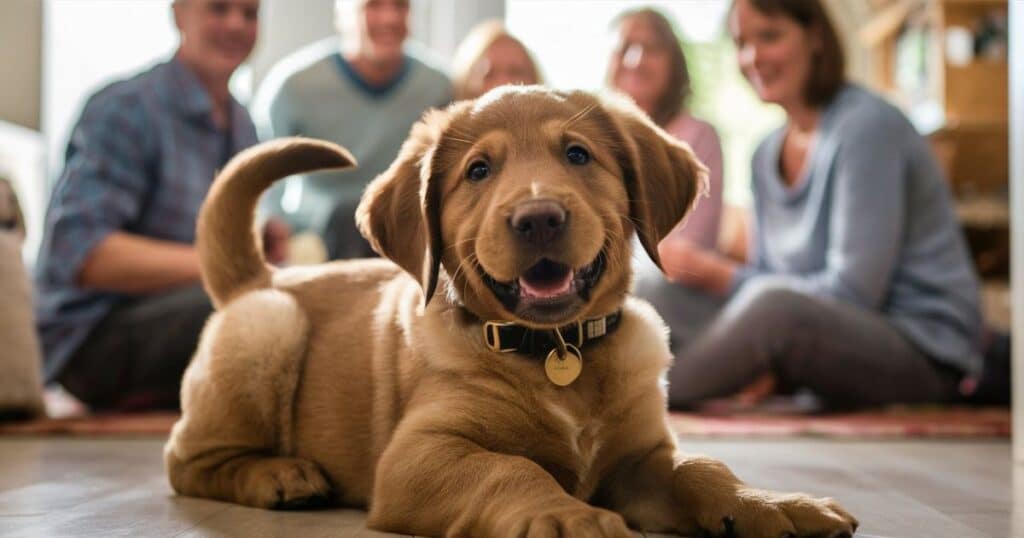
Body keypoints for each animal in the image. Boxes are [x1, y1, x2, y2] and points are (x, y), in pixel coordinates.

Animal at [167, 88, 856, 536]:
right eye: (478, 171)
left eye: (577, 155)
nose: (538, 216)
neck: (557, 349)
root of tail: (261, 277)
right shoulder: (417, 457)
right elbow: (509, 470)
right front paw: (570, 516)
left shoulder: (641, 458)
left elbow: (702, 466)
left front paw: (772, 504)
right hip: (268, 330)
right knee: (186, 461)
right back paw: (277, 476)